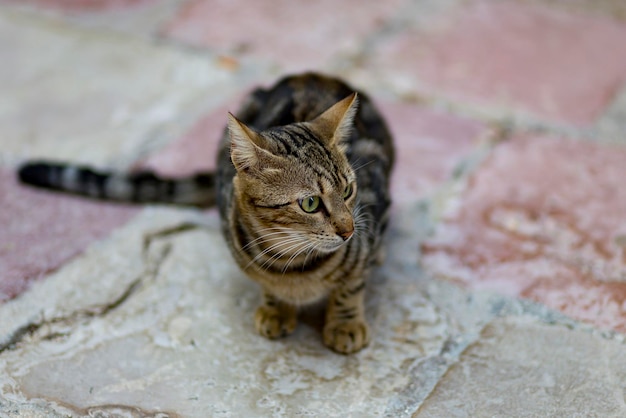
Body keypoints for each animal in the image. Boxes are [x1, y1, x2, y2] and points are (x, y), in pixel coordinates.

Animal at [18, 72, 394, 352]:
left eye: (348, 191)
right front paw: (276, 307)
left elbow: (350, 286)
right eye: (311, 203)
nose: (348, 230)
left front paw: (344, 323)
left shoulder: (370, 221)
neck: (294, 264)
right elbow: (270, 287)